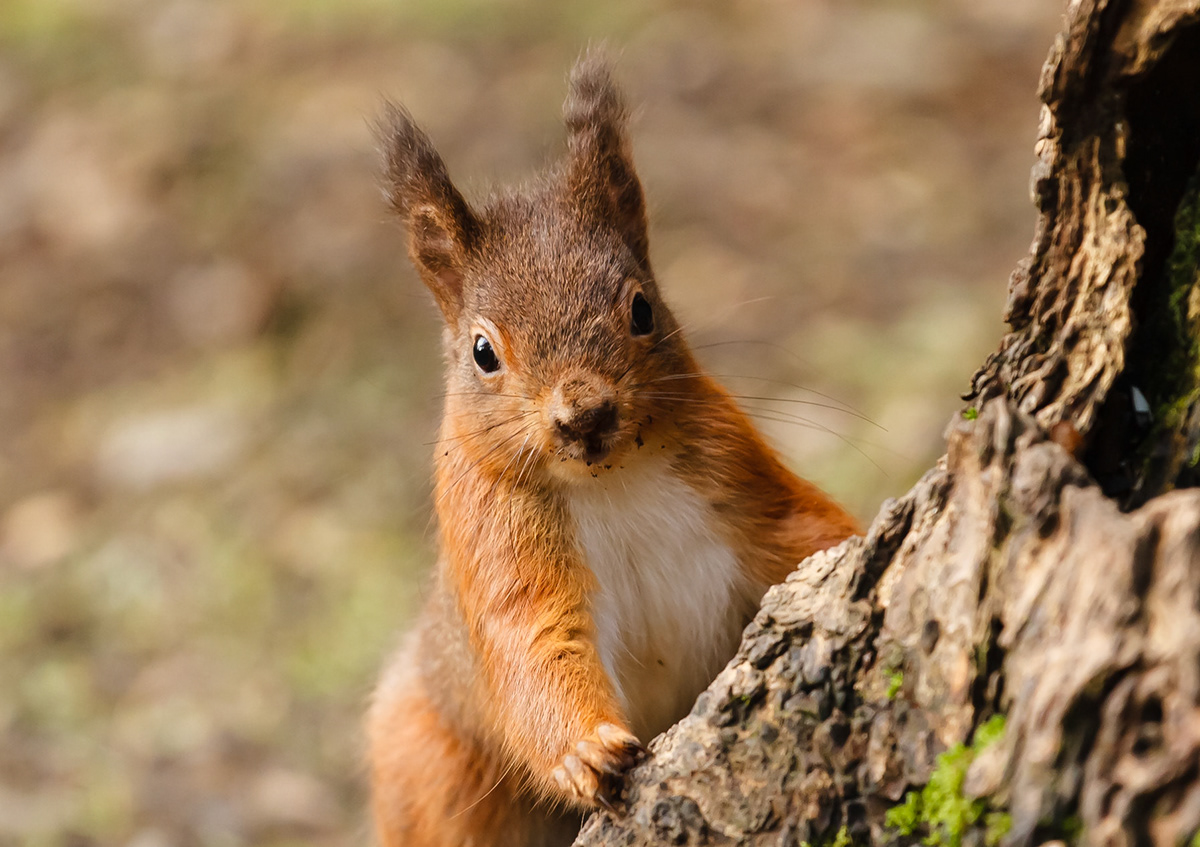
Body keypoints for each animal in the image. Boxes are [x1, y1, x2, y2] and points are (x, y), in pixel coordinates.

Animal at [367, 54, 864, 844]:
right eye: (482, 351)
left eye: (642, 308)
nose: (585, 415)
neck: (610, 478)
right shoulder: (495, 535)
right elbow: (531, 645)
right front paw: (585, 752)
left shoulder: (739, 472)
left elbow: (805, 530)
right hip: (431, 764)